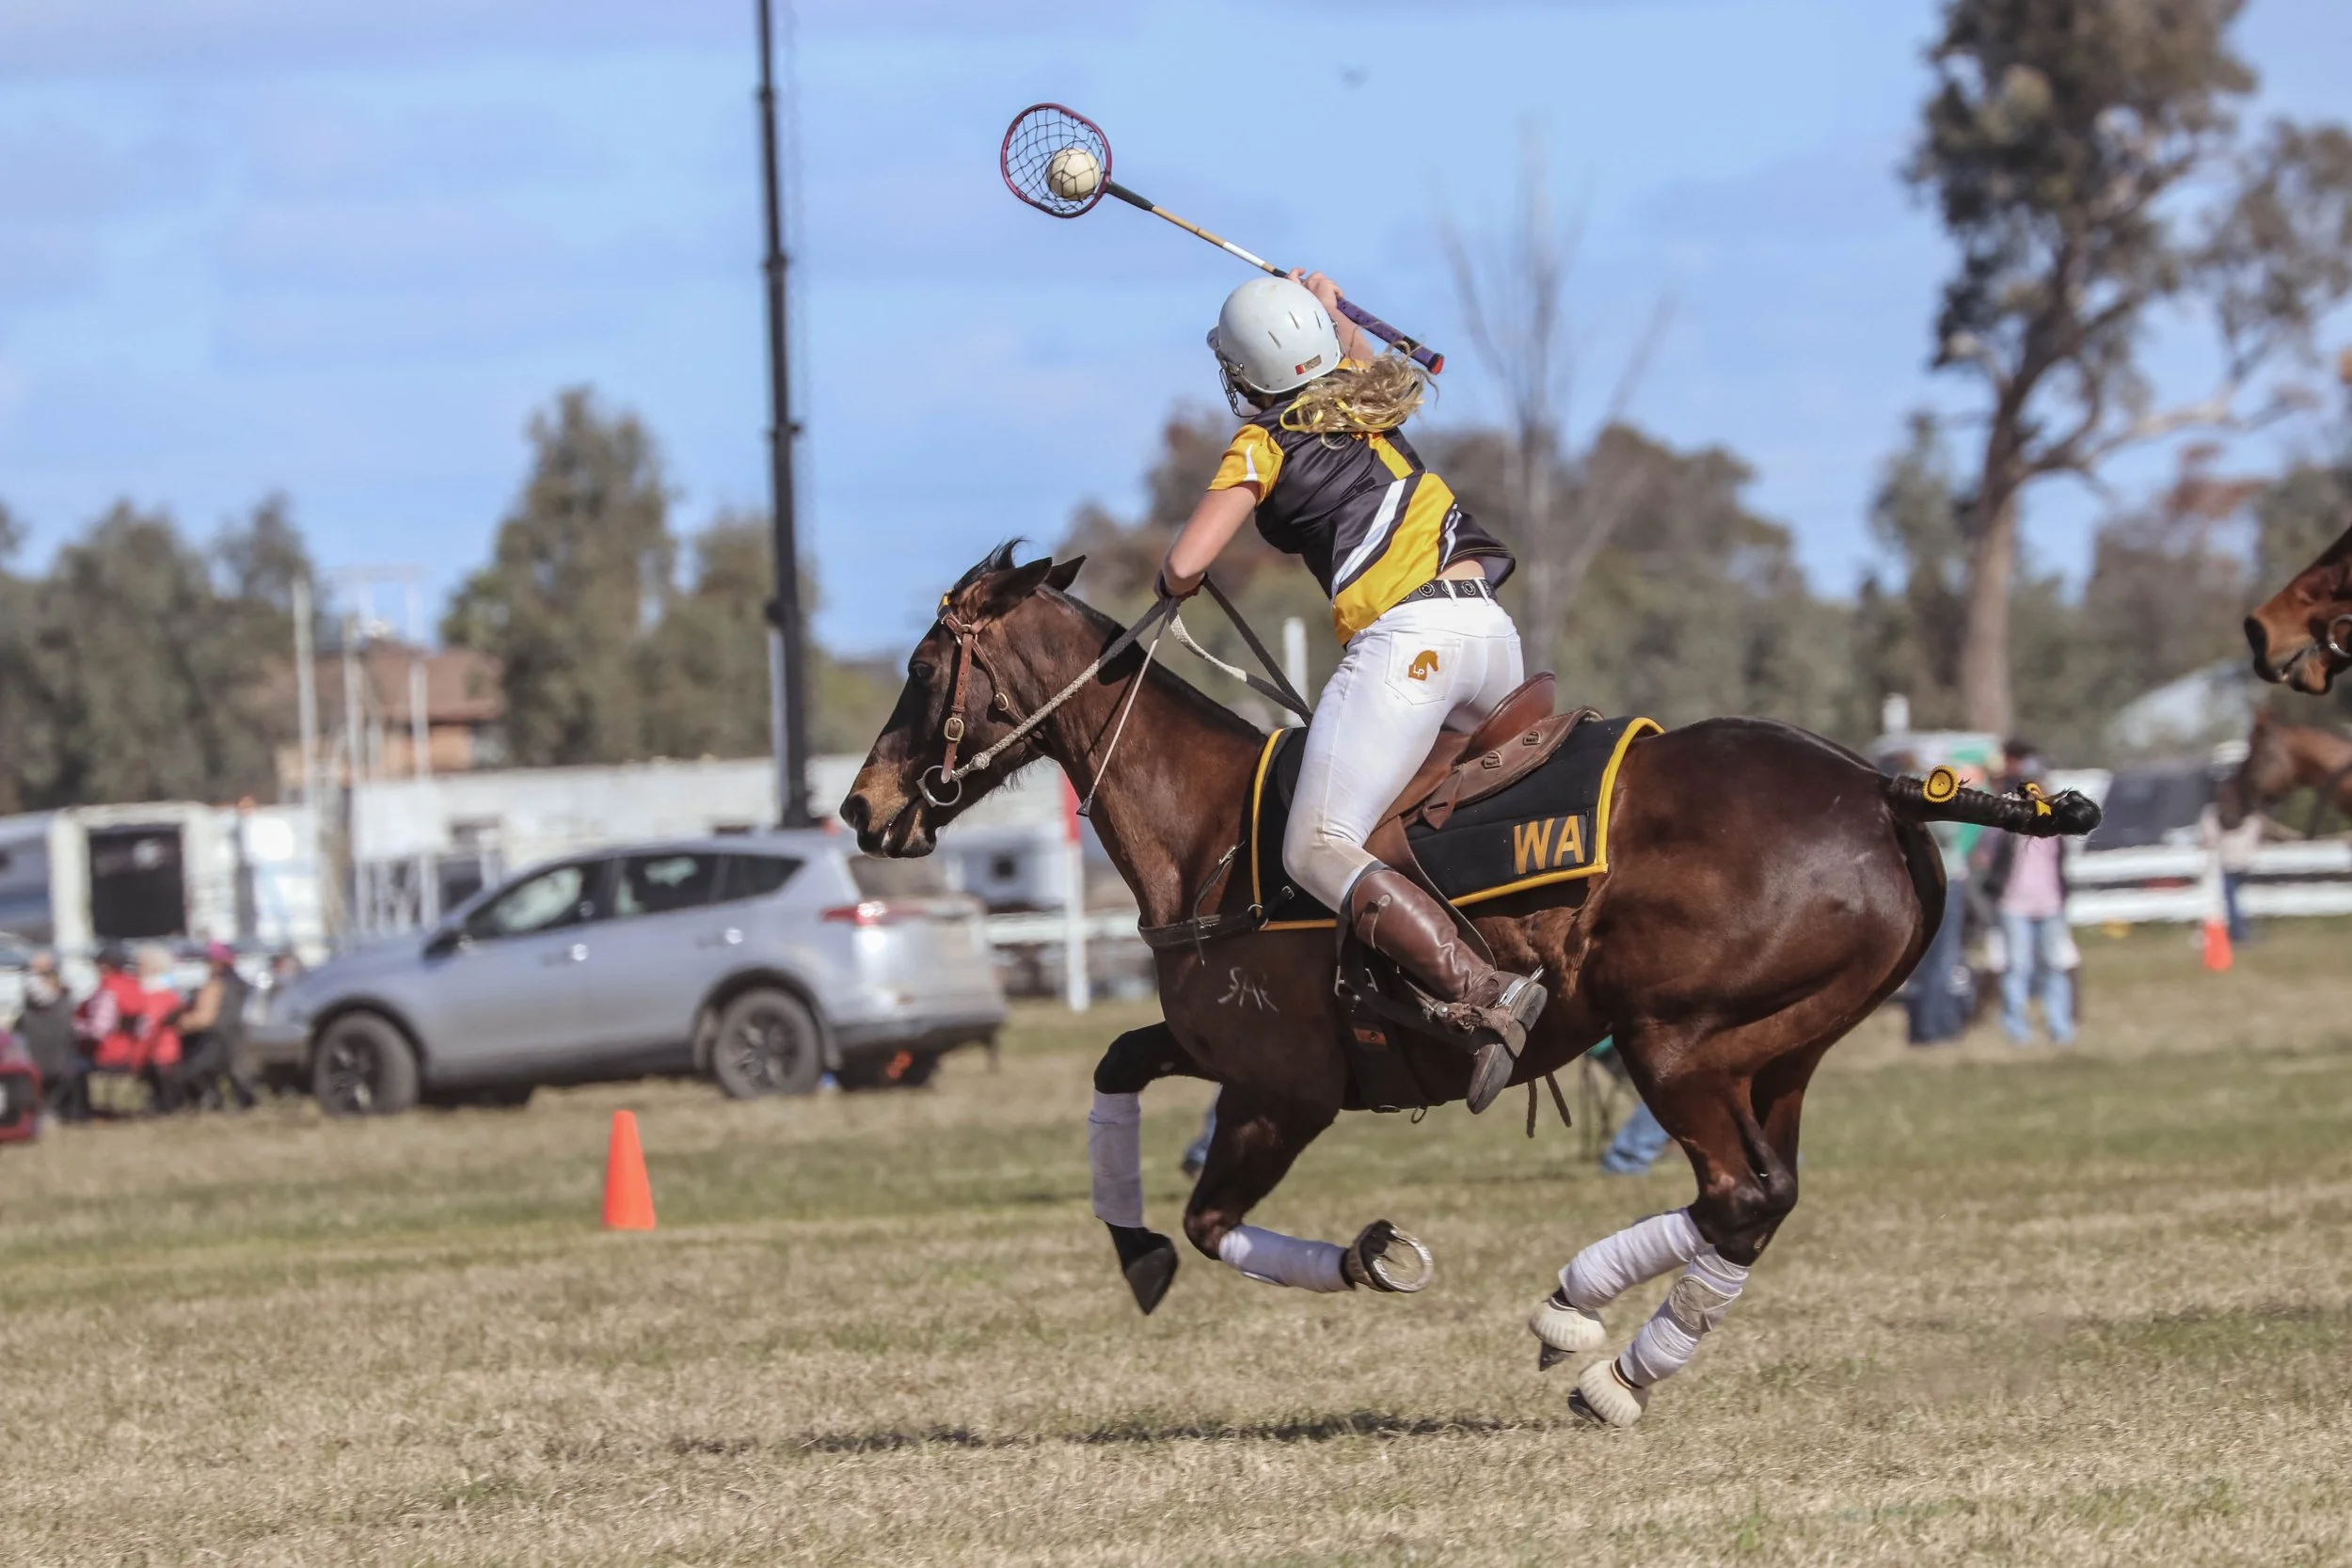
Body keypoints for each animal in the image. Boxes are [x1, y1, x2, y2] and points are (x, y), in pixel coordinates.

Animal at [841, 546, 2097, 1426]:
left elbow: (1208, 1218)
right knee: (1763, 1196)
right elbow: (1119, 1070)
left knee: (1740, 1191)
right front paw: (1153, 1245)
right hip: (1783, 1048)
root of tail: (1883, 786)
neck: (1207, 831)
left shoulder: (1278, 1089)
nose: (861, 807)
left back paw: (1585, 1324)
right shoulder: (1224, 1048)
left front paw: (1363, 1254)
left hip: (1675, 1040)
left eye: (921, 666)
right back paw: (1620, 1358)